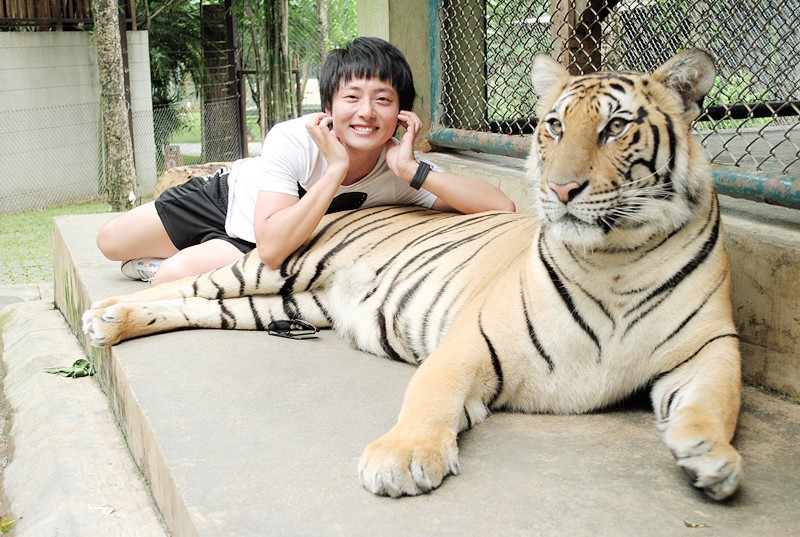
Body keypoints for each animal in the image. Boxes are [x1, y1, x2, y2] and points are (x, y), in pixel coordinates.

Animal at [83, 48, 744, 500]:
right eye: (554, 125)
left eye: (615, 127)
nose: (559, 189)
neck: (616, 259)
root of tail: (346, 206)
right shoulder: (473, 337)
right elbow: (431, 394)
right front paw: (400, 459)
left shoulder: (711, 345)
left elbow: (718, 399)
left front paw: (710, 456)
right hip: (273, 264)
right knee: (182, 283)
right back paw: (103, 315)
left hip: (283, 305)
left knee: (193, 305)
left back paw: (114, 322)